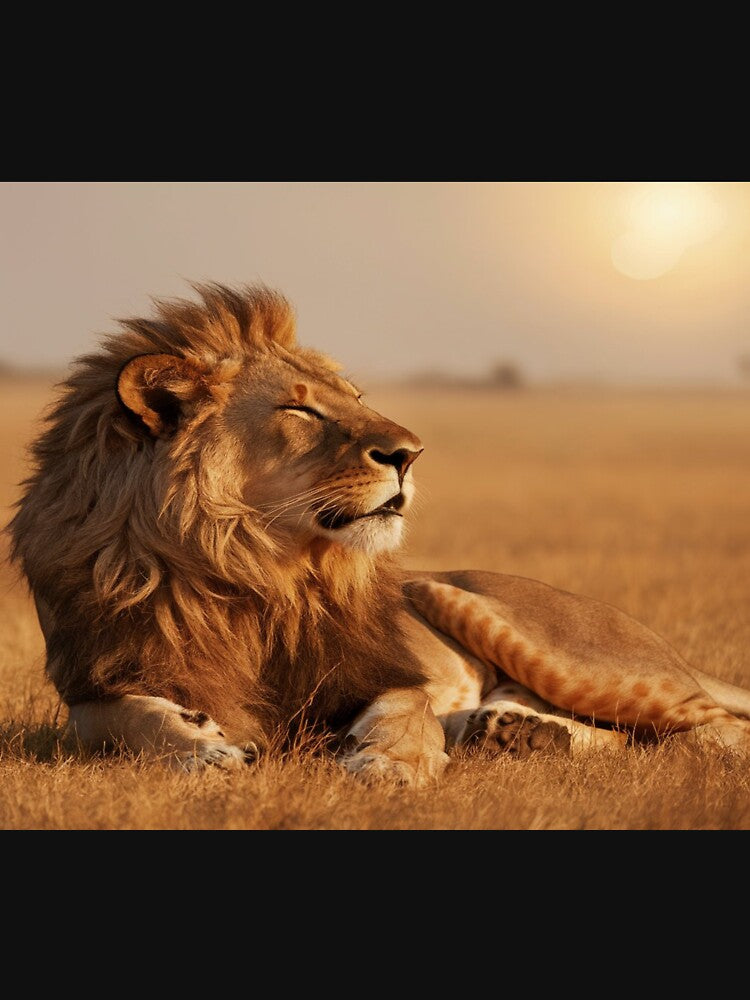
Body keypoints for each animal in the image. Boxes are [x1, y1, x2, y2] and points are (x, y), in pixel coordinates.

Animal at [8, 283, 750, 785]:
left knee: (711, 727)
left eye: (355, 401)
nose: (410, 454)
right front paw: (202, 748)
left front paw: (391, 766)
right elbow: (118, 720)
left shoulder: (376, 670)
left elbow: (403, 710)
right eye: (301, 410)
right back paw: (516, 734)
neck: (249, 572)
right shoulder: (98, 680)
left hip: (526, 632)